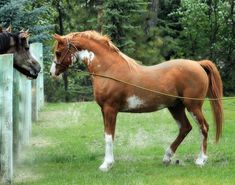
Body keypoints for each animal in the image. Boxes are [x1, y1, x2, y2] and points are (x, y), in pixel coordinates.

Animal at [50, 30, 223, 172]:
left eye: (58, 52)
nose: (52, 73)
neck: (108, 69)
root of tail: (198, 64)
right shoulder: (104, 110)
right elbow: (108, 135)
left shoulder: (110, 109)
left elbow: (109, 136)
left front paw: (106, 165)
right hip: (175, 107)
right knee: (185, 128)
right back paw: (167, 157)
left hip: (193, 106)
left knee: (203, 127)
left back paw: (201, 160)